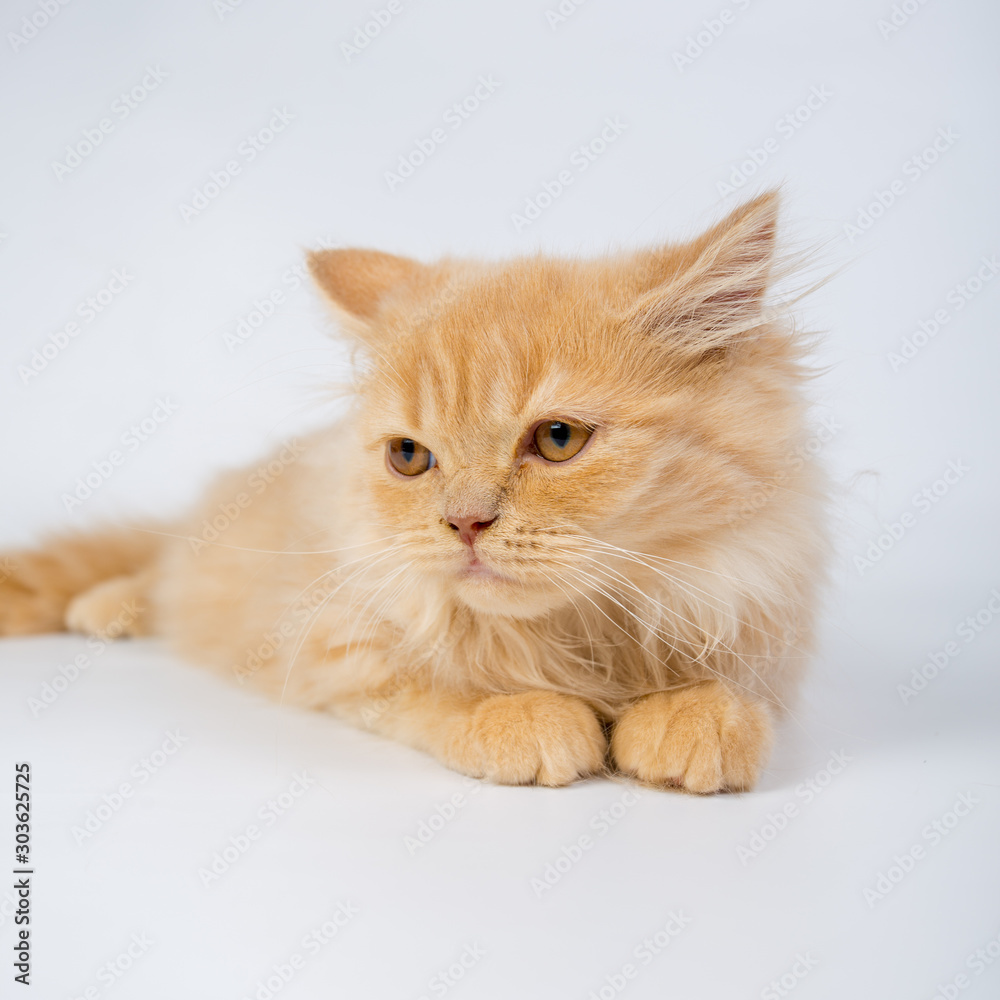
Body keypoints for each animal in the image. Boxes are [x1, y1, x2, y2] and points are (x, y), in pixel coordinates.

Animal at [1, 191, 828, 792]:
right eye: (409, 457)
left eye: (558, 440)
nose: (465, 522)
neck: (577, 634)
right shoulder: (335, 636)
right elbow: (430, 685)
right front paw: (520, 714)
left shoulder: (757, 602)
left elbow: (731, 685)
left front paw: (694, 717)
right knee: (166, 572)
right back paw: (107, 606)